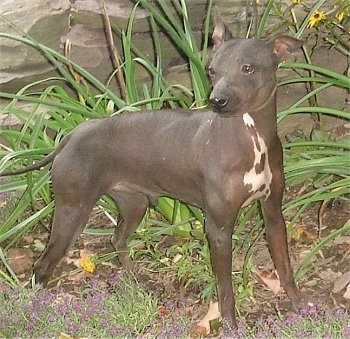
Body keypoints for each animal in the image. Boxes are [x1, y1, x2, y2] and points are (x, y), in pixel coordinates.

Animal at [0, 17, 304, 330]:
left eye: (248, 68)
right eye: (211, 70)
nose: (216, 101)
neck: (251, 138)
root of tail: (70, 136)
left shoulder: (273, 213)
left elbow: (285, 267)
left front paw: (301, 306)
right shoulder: (218, 228)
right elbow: (225, 289)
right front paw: (231, 326)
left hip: (133, 205)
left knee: (116, 239)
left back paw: (134, 282)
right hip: (73, 211)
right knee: (43, 264)